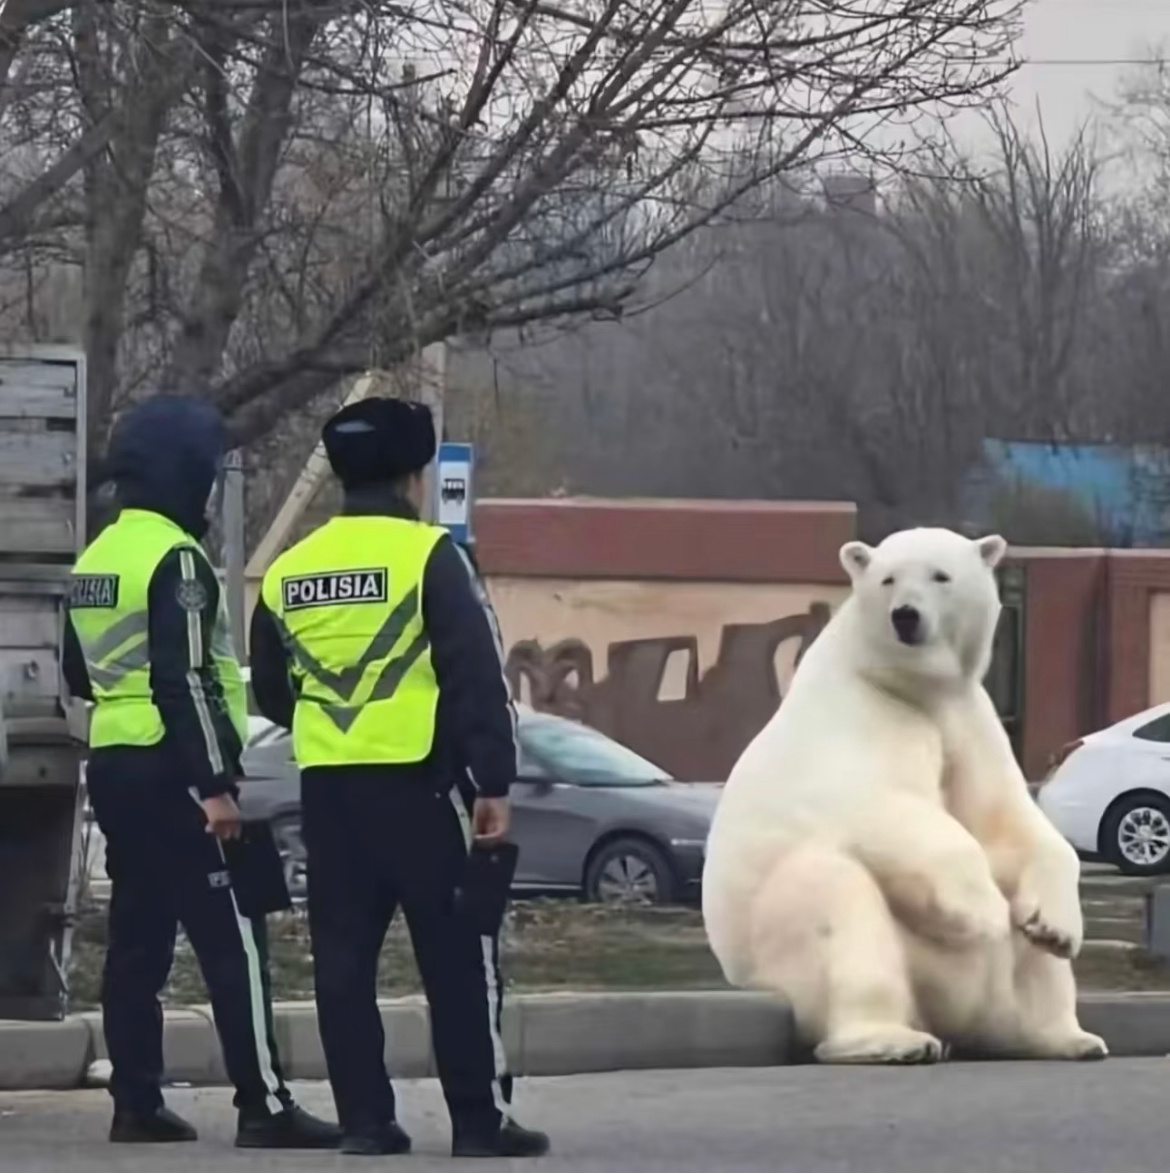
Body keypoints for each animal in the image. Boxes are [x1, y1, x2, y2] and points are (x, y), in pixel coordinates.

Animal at [699, 525, 1107, 1065]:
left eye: (941, 575)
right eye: (888, 578)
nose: (906, 615)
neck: (910, 688)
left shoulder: (967, 721)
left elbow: (1006, 820)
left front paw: (1055, 927)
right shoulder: (859, 718)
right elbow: (880, 805)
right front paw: (984, 911)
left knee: (1028, 973)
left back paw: (1063, 1036)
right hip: (792, 936)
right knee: (838, 904)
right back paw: (894, 1040)